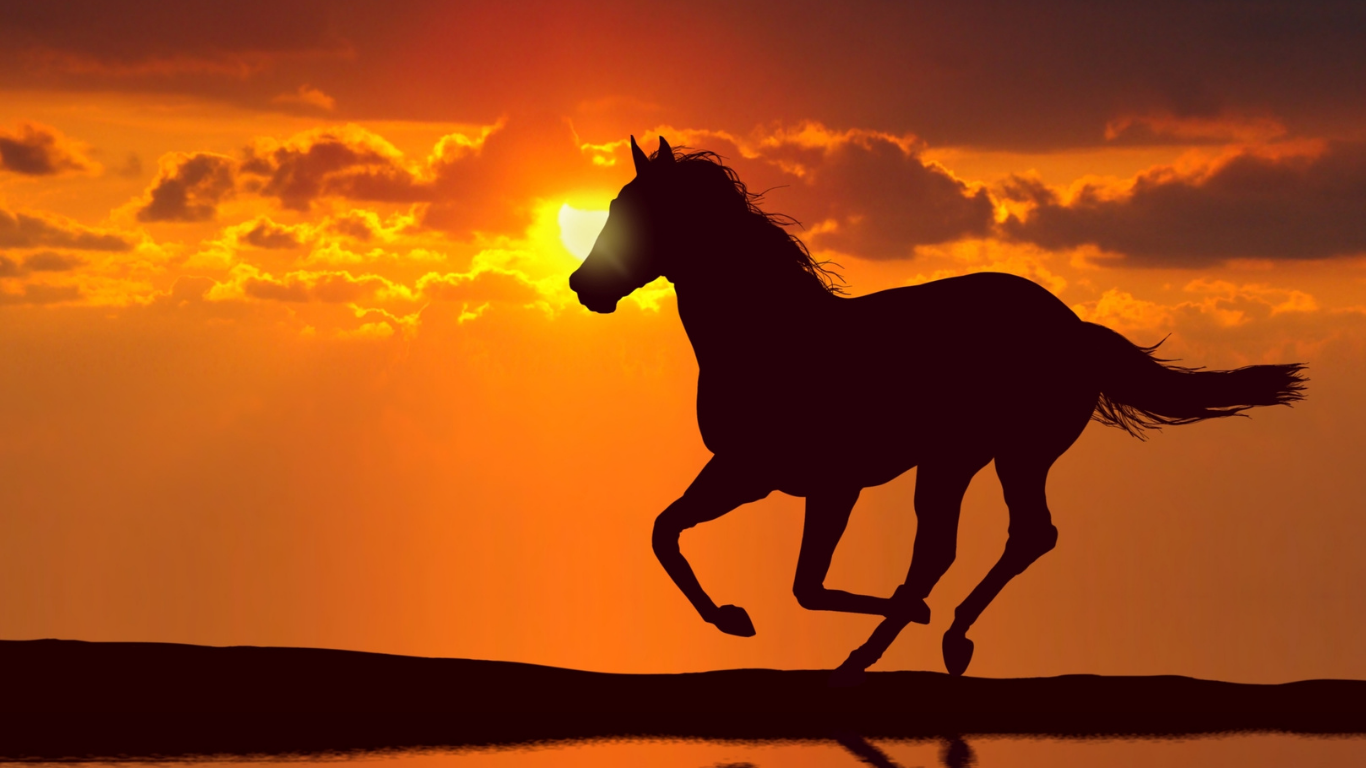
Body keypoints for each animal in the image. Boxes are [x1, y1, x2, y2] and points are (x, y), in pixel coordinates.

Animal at [568, 135, 1306, 683]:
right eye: (614, 205)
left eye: (642, 215)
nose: (582, 286)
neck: (773, 338)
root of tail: (1074, 328)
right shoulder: (747, 472)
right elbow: (668, 532)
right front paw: (732, 617)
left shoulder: (822, 481)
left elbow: (803, 583)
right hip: (975, 459)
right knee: (994, 541)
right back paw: (933, 639)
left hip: (988, 455)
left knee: (985, 543)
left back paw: (905, 643)